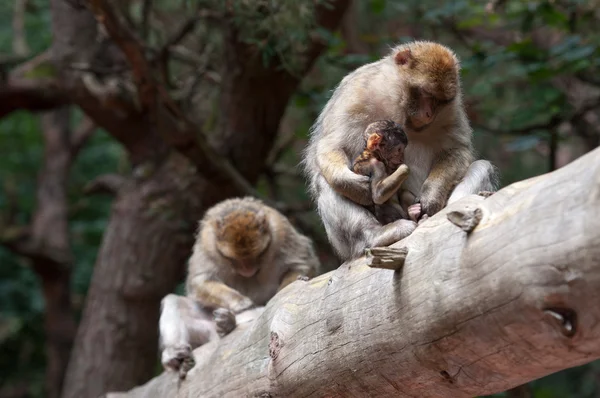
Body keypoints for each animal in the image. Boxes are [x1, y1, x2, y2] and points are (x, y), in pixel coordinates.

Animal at [158, 197, 318, 378]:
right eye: (232, 260)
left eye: (259, 255)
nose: (247, 270)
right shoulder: (207, 243)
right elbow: (200, 280)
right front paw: (239, 303)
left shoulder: (281, 232)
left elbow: (301, 263)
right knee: (174, 301)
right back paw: (173, 356)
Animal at [304, 40, 496, 262]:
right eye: (427, 94)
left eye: (439, 101)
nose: (429, 113)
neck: (397, 100)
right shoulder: (356, 91)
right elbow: (332, 145)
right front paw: (354, 185)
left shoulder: (452, 109)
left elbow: (456, 149)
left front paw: (431, 194)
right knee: (324, 181)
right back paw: (377, 235)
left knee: (481, 167)